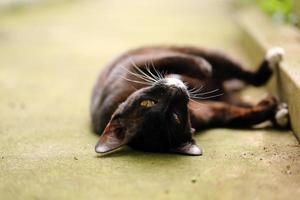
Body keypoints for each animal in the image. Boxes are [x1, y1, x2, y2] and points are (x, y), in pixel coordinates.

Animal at [91, 46, 288, 155]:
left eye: (147, 102)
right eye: (175, 118)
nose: (175, 90)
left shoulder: (135, 64)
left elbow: (184, 62)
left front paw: (202, 69)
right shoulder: (215, 112)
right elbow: (244, 116)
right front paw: (272, 107)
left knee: (225, 65)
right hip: (227, 95)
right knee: (250, 85)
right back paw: (280, 110)